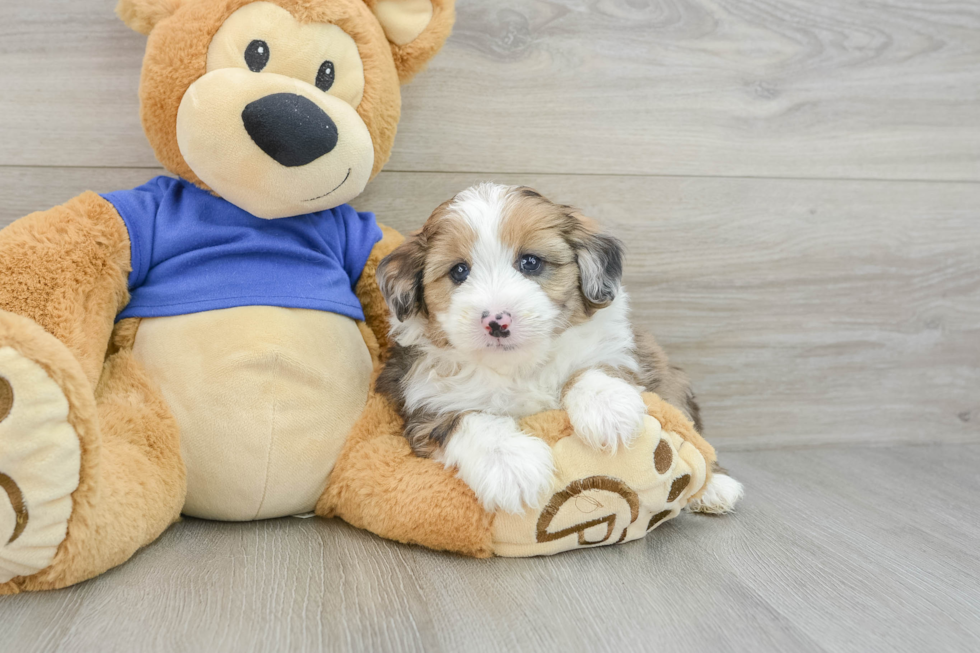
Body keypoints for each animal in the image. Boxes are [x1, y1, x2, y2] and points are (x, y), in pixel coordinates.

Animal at [376, 183, 744, 516]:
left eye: (530, 262)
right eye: (459, 271)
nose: (496, 321)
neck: (520, 366)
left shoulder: (617, 346)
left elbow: (594, 366)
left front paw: (608, 408)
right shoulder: (425, 399)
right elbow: (465, 418)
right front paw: (511, 466)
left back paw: (716, 487)